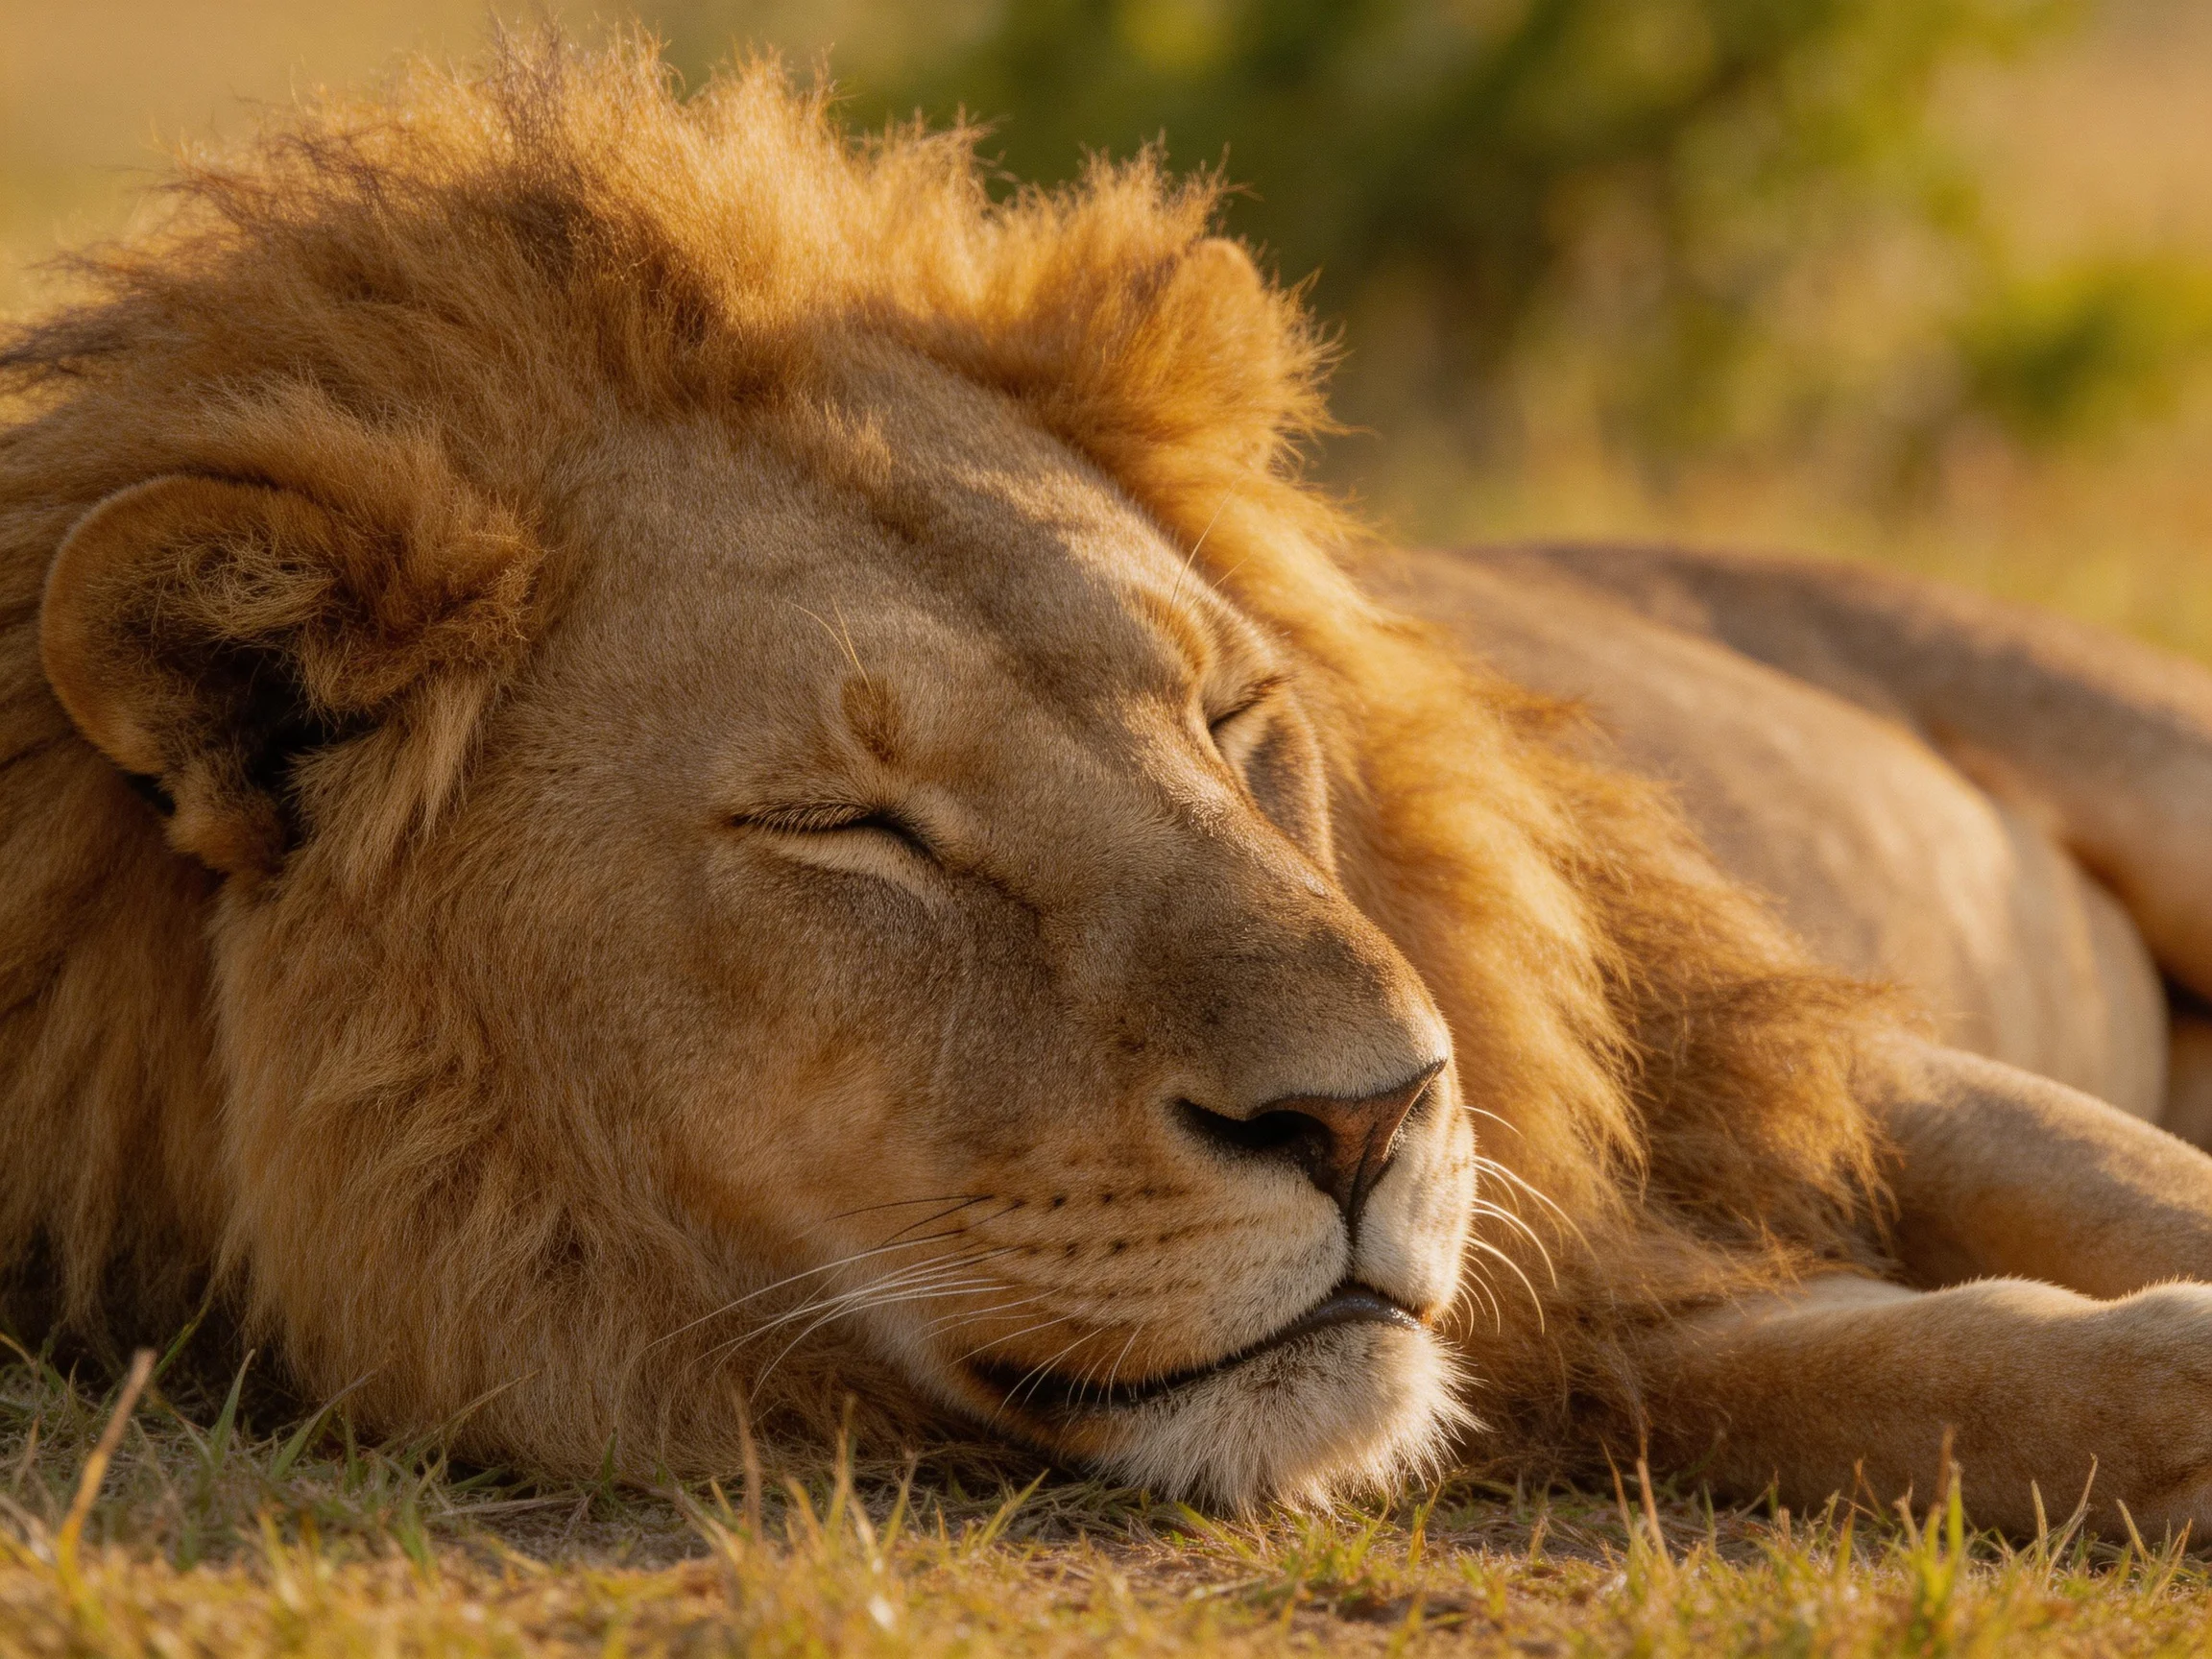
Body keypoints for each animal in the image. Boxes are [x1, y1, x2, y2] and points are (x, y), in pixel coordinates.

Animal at [9, 36, 2212, 1530]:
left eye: (1229, 718)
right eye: (851, 828)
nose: (1372, 1118)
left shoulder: (1761, 1050)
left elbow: (2096, 1175)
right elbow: (1868, 1378)